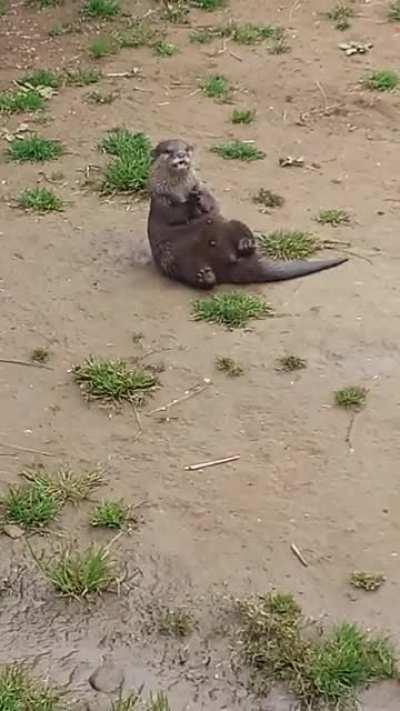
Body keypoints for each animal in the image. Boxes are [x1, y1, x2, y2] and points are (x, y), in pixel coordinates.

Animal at [147, 139, 348, 290]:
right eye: (168, 151)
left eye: (186, 149)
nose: (181, 155)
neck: (179, 189)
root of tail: (227, 264)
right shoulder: (160, 199)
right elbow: (175, 214)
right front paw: (189, 202)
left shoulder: (203, 187)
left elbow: (212, 203)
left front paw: (200, 197)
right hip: (171, 257)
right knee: (189, 270)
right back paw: (204, 276)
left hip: (229, 224)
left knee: (238, 230)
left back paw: (246, 244)